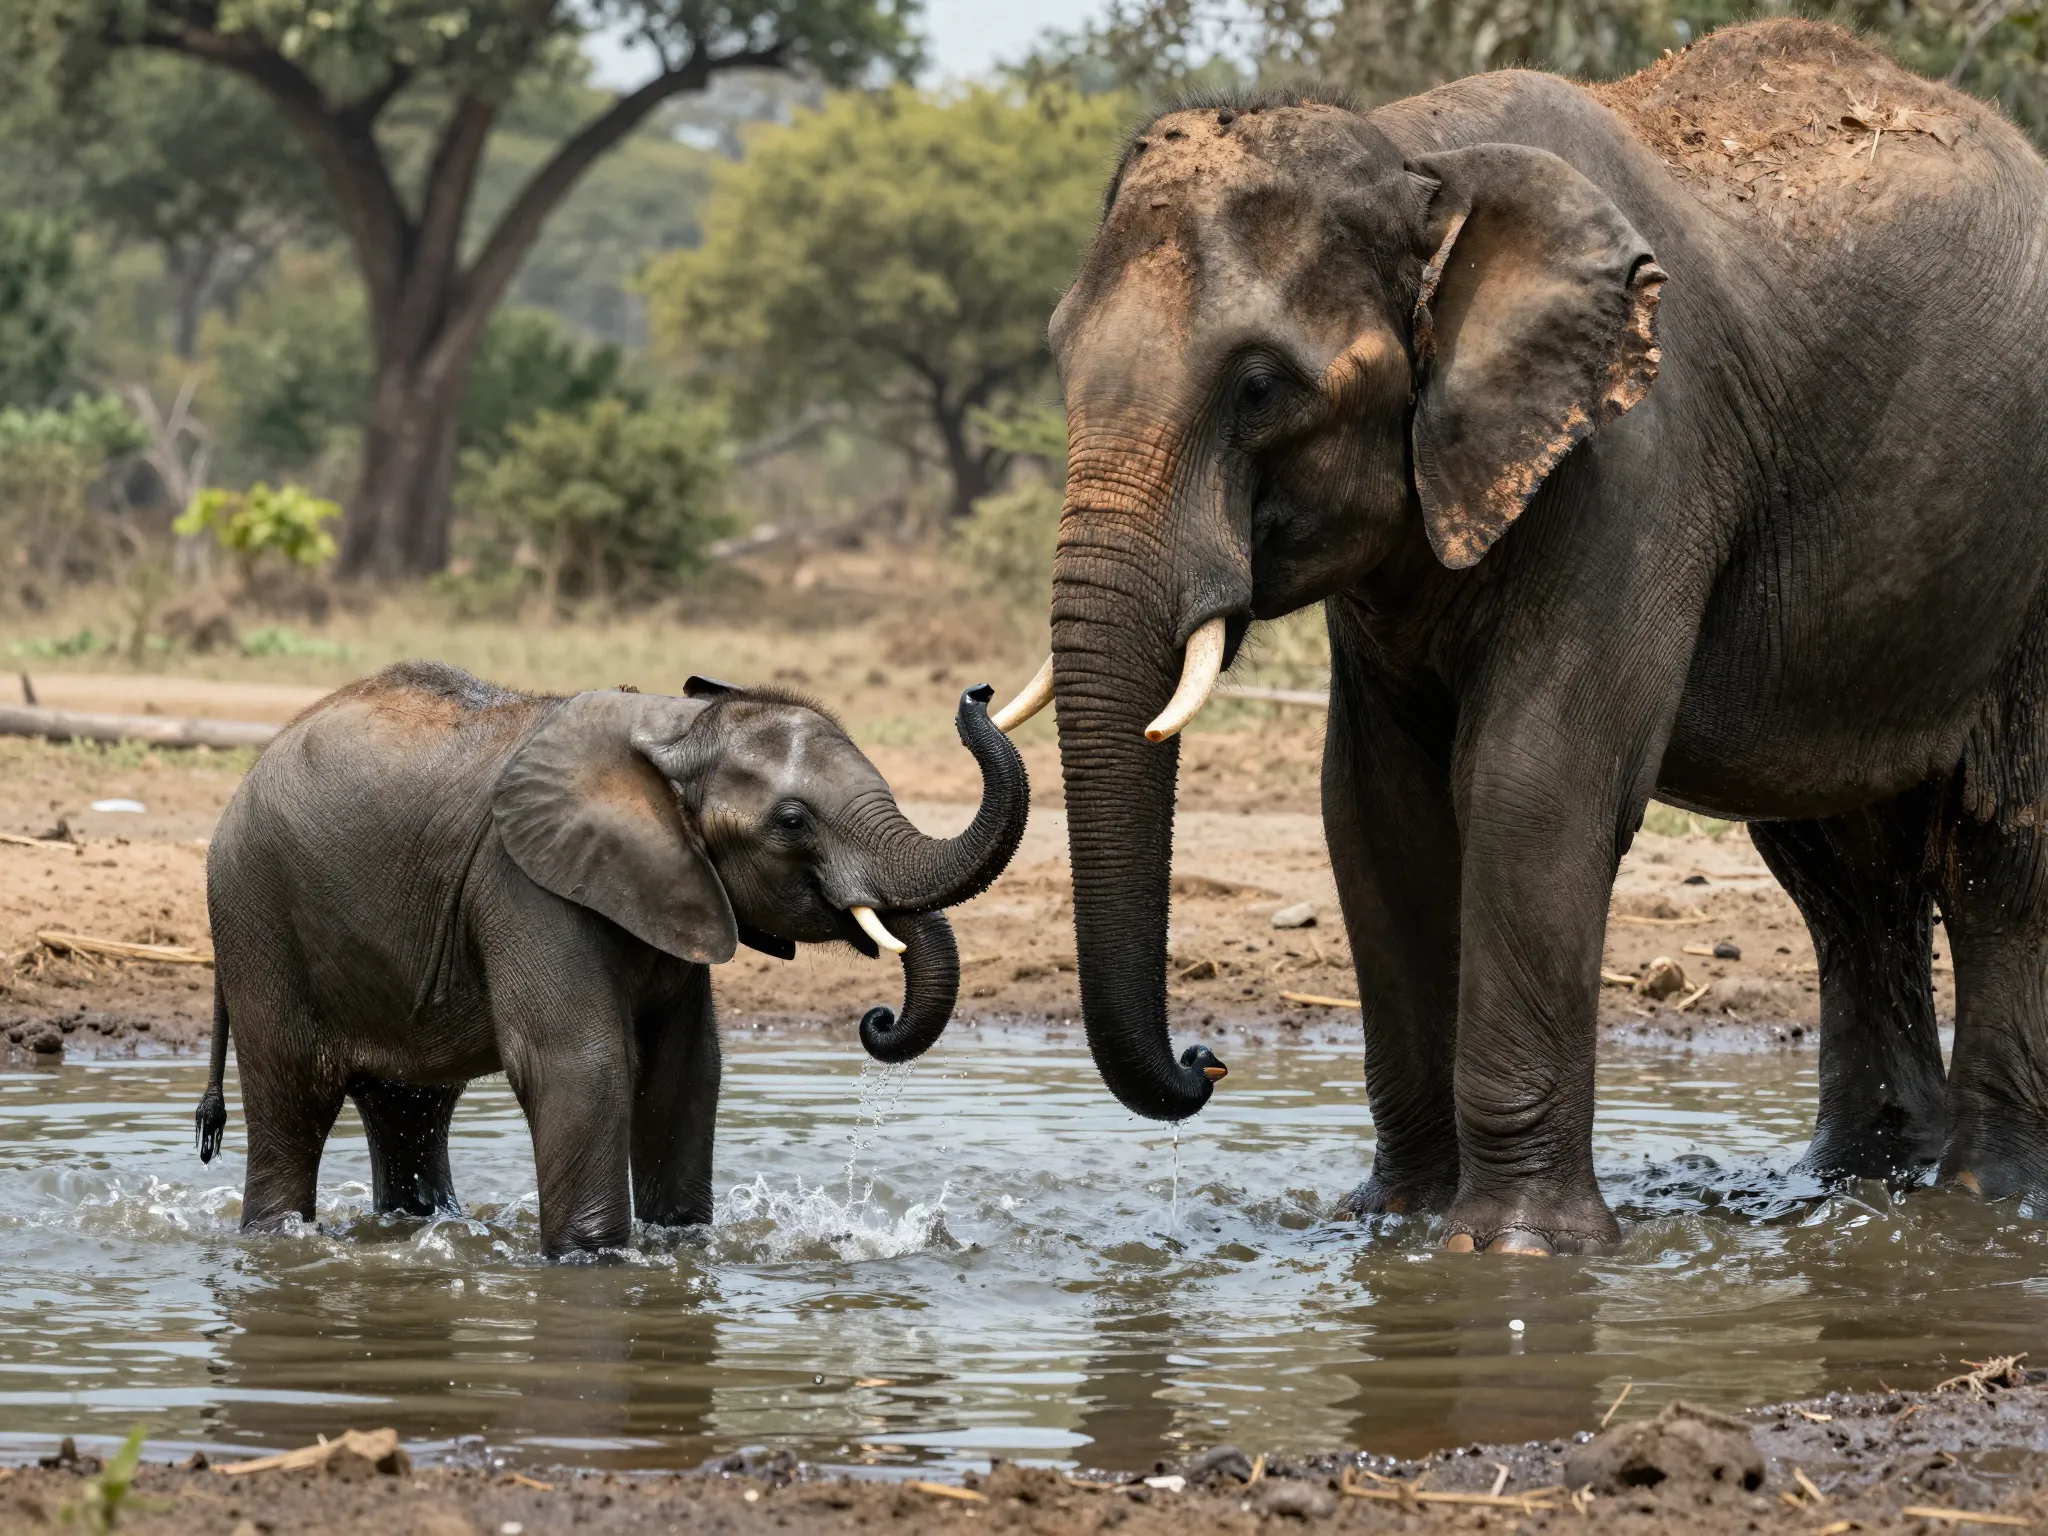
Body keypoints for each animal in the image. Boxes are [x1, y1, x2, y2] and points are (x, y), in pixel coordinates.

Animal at [195, 660, 1027, 1256]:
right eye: (792, 822)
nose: (980, 689)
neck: (678, 731)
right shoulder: (527, 883)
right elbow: (582, 1063)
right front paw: (592, 1261)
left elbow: (686, 1070)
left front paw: (680, 1245)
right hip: (257, 917)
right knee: (293, 1096)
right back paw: (278, 1241)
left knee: (410, 1107)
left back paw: (417, 1229)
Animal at [991, 19, 2048, 1254]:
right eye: (1057, 355)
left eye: (1259, 388)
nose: (1207, 1060)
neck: (1413, 155)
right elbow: (1375, 809)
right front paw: (1393, 1225)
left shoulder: (1634, 454)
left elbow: (1529, 780)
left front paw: (1513, 1253)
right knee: (1844, 875)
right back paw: (1854, 1186)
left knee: (2000, 855)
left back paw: (1984, 1203)